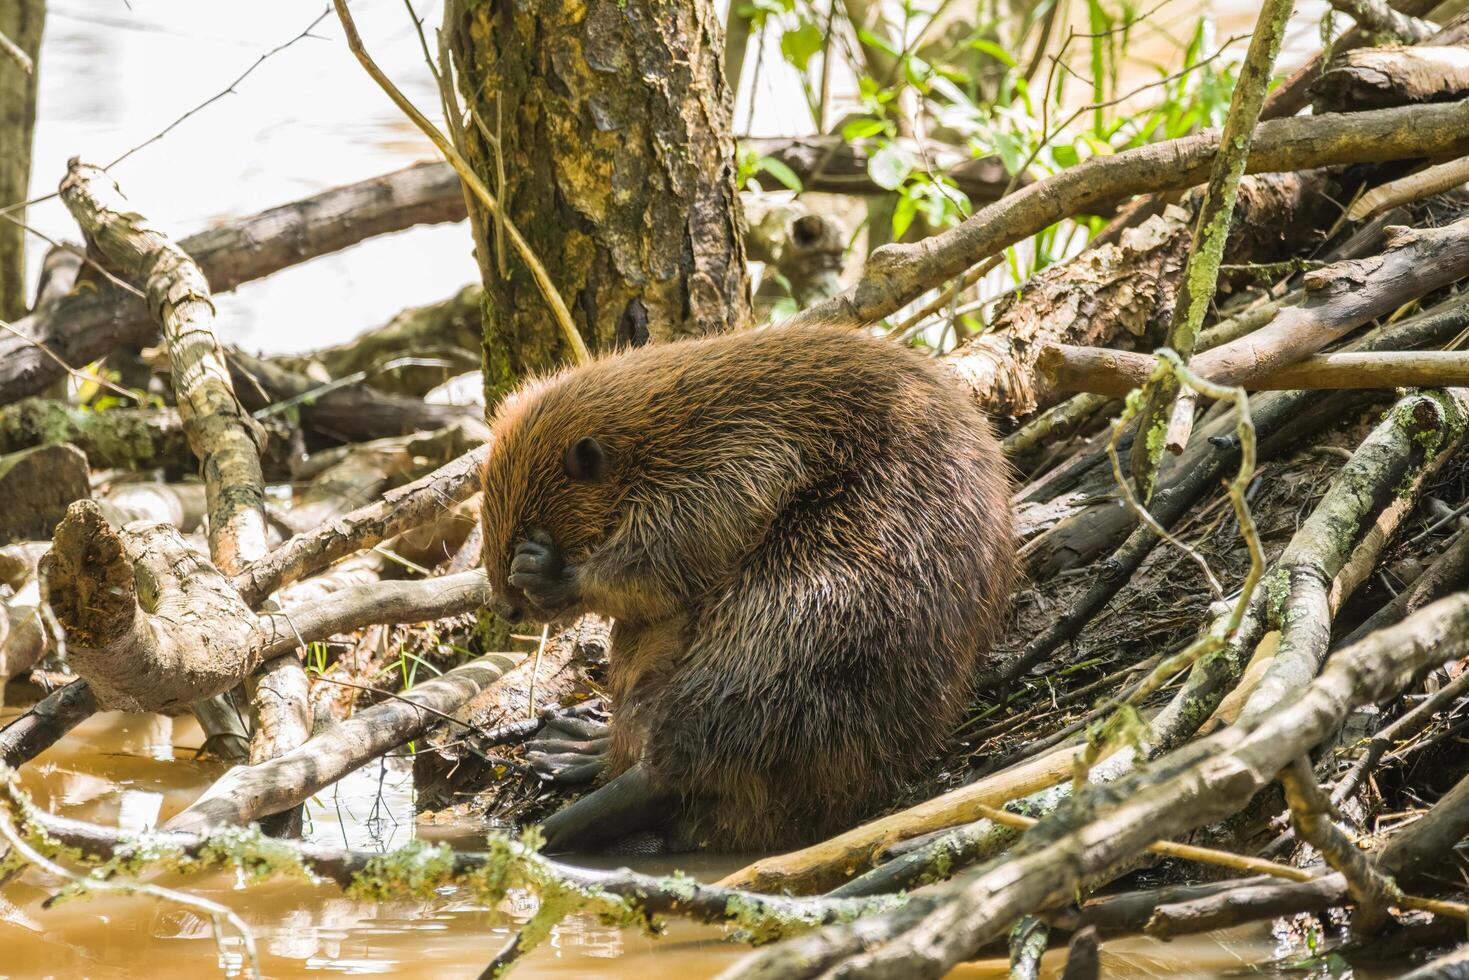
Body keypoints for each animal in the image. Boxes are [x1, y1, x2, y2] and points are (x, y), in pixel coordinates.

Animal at [478, 326, 1010, 852]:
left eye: (528, 527)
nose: (504, 608)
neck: (657, 430)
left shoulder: (741, 454)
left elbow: (676, 545)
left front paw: (542, 571)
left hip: (798, 614)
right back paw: (570, 746)